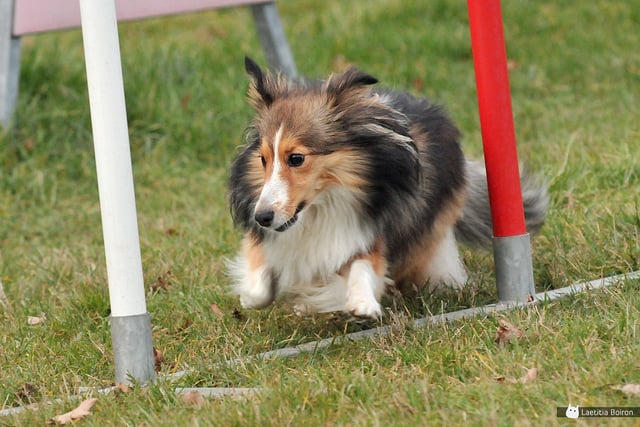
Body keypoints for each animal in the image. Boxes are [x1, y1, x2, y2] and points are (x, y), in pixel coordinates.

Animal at [228, 56, 548, 320]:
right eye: (263, 159)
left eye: (296, 158)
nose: (262, 217)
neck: (324, 204)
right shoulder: (271, 238)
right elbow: (259, 285)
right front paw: (260, 295)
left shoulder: (370, 230)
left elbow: (363, 266)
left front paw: (359, 303)